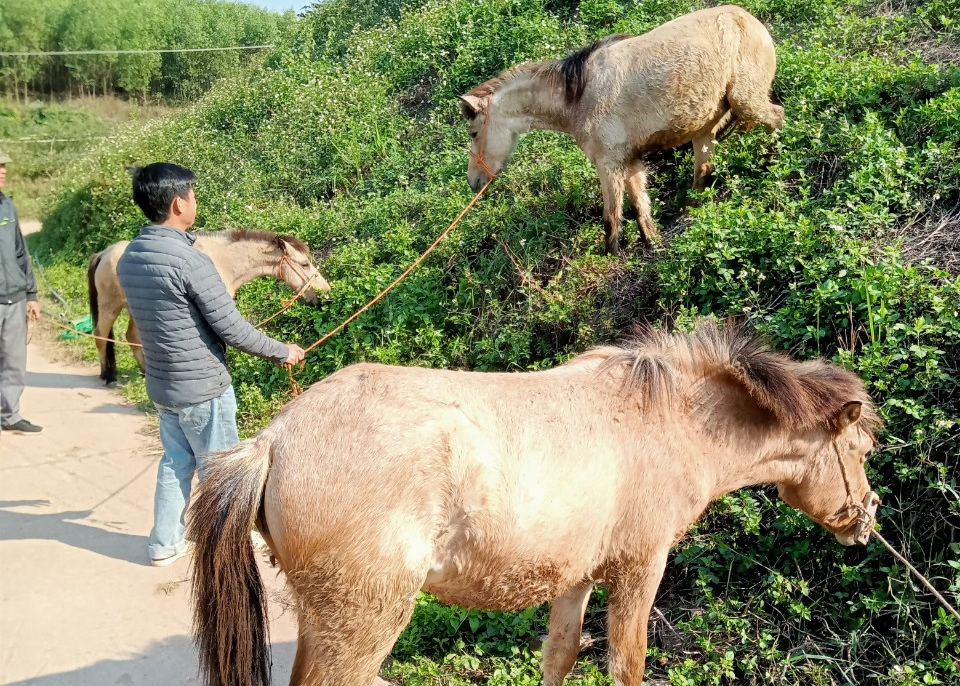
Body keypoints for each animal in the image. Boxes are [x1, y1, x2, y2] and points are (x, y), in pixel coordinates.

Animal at [90, 228, 330, 384]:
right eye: (304, 264)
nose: (326, 293)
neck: (222, 261)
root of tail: (104, 253)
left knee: (131, 337)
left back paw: (143, 373)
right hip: (110, 306)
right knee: (100, 335)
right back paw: (107, 375)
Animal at [189, 322, 884, 686]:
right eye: (861, 447)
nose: (867, 519)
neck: (668, 421)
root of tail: (274, 440)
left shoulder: (575, 578)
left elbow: (561, 654)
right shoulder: (639, 572)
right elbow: (626, 664)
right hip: (362, 622)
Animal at [462, 6, 784, 253]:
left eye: (474, 133)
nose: (473, 182)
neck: (579, 95)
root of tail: (750, 20)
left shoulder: (608, 164)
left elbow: (611, 217)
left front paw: (612, 256)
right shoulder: (629, 161)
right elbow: (640, 207)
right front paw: (652, 244)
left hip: (747, 101)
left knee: (777, 120)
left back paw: (775, 166)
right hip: (705, 129)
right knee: (703, 173)